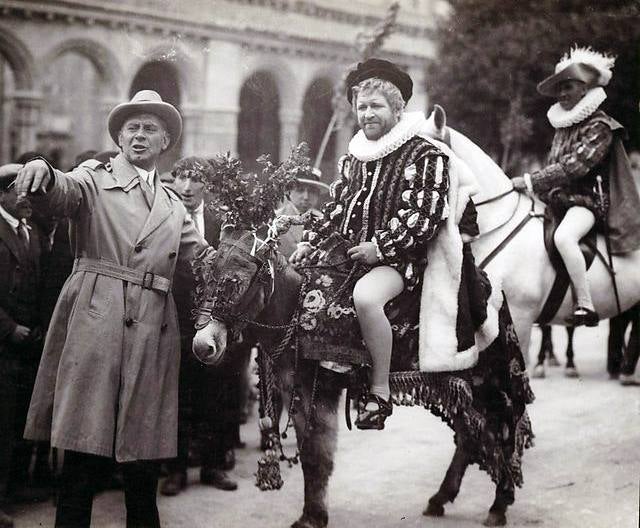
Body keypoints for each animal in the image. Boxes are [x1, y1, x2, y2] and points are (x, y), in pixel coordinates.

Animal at [192, 227, 532, 528]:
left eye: (234, 283)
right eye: (204, 279)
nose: (202, 346)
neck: (297, 312)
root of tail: (492, 292)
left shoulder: (317, 393)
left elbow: (316, 456)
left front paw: (312, 517)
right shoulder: (295, 391)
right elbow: (311, 454)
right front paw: (313, 513)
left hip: (488, 386)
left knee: (501, 436)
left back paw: (499, 504)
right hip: (457, 387)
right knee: (468, 438)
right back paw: (441, 499)